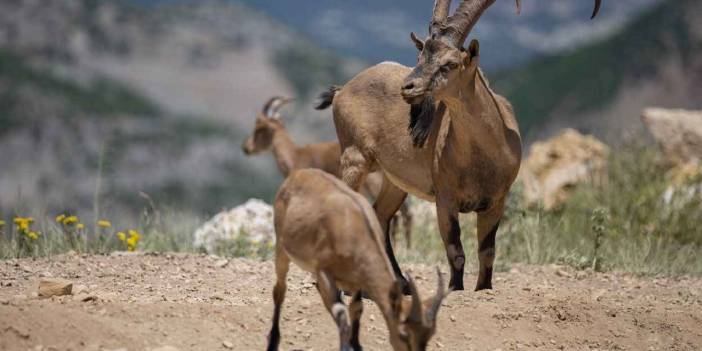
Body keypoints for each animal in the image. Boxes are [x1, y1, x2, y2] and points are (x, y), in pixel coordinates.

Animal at [270, 169, 452, 350]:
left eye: (429, 336)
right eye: (404, 334)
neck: (356, 233)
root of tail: (297, 175)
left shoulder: (357, 279)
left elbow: (356, 309)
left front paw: (355, 344)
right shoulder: (323, 270)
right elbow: (341, 313)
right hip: (281, 248)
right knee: (280, 290)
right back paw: (273, 340)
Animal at [316, 0, 604, 292]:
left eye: (450, 63)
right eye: (420, 58)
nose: (408, 87)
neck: (481, 157)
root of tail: (342, 90)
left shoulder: (496, 202)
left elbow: (487, 251)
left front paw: (483, 288)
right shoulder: (445, 200)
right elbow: (455, 251)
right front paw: (455, 288)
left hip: (394, 181)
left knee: (380, 216)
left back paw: (399, 282)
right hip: (354, 158)